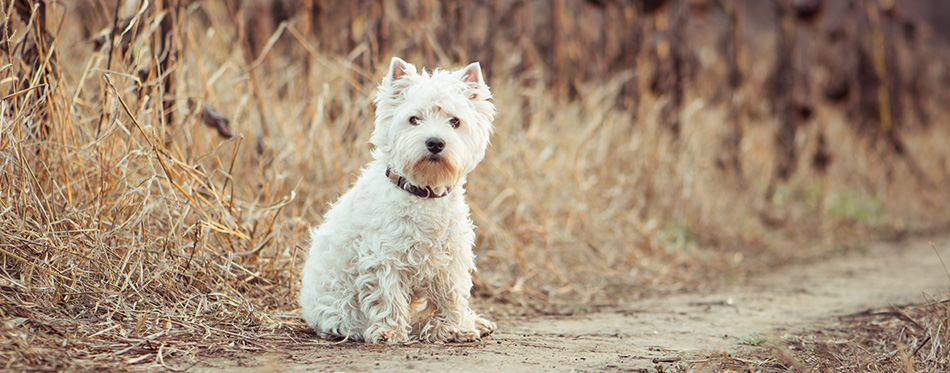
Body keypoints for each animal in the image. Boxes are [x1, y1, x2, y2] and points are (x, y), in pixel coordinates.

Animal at [302, 56, 498, 342]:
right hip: (340, 312)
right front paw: (388, 332)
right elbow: (387, 295)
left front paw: (456, 328)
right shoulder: (384, 256)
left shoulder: (451, 257)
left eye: (455, 121)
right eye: (413, 119)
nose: (435, 143)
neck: (424, 192)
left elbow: (452, 295)